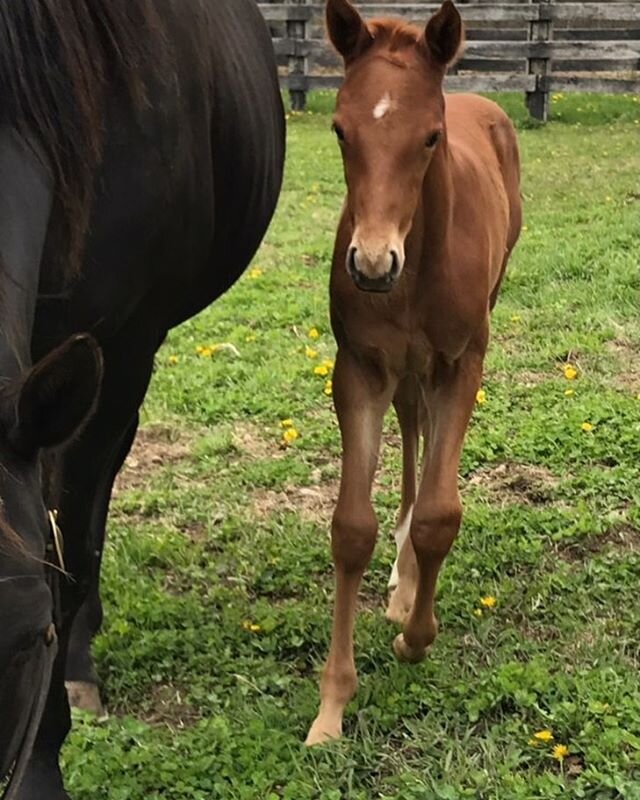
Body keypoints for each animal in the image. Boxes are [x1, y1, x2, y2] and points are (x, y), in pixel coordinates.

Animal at [308, 0, 524, 744]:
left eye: (430, 138)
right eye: (340, 130)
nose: (373, 265)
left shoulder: (462, 362)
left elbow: (439, 514)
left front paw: (416, 639)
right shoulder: (360, 368)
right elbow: (351, 529)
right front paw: (332, 706)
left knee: (428, 434)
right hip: (401, 370)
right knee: (412, 424)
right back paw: (402, 582)